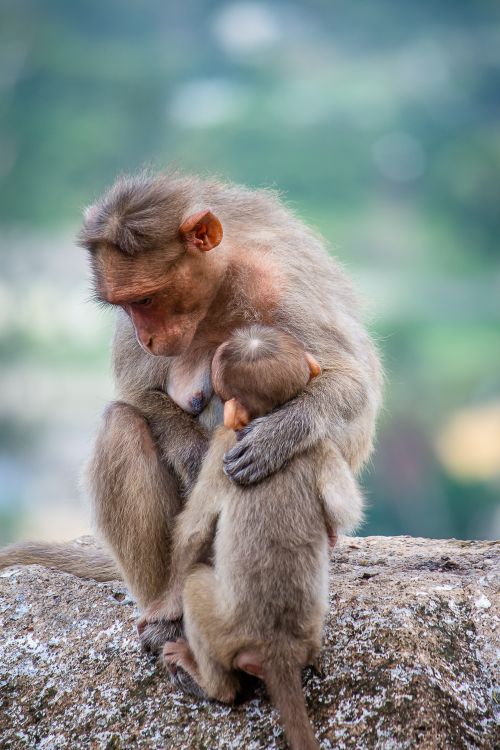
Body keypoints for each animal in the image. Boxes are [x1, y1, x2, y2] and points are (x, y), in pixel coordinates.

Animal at [0, 171, 382, 659]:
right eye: (124, 305)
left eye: (146, 299)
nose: (144, 337)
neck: (219, 287)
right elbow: (136, 391)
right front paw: (191, 452)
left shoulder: (282, 281)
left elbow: (351, 381)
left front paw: (274, 437)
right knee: (122, 424)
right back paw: (167, 608)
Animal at [137, 325, 363, 750]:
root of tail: (279, 650)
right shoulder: (319, 446)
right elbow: (345, 506)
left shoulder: (223, 444)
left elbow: (194, 528)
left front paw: (163, 607)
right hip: (310, 635)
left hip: (225, 627)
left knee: (195, 586)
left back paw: (205, 679)